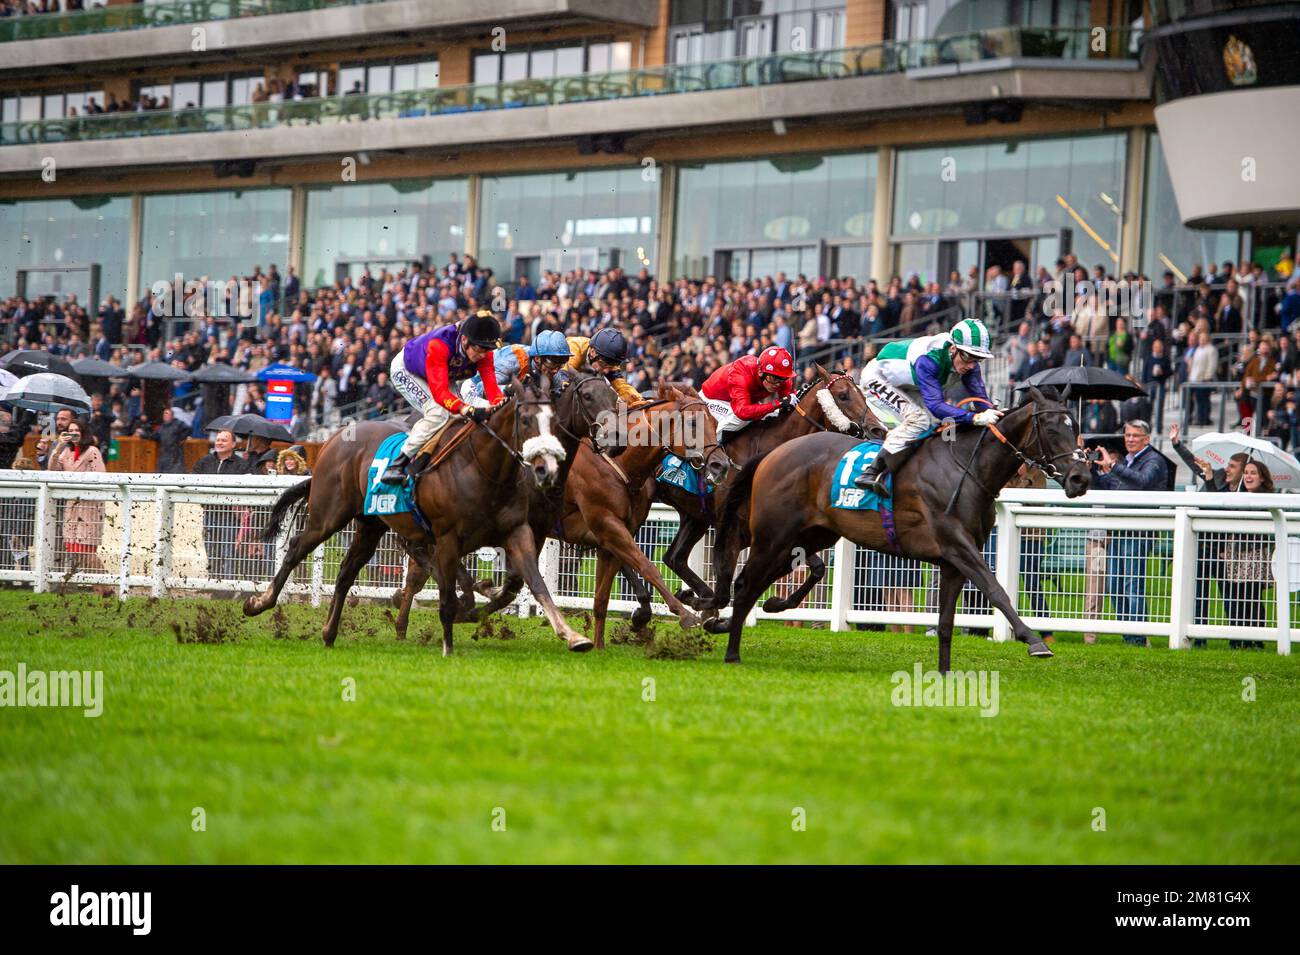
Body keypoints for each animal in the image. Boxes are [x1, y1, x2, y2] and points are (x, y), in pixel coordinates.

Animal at [249, 374, 624, 657]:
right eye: (527, 420)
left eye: (554, 422)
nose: (546, 469)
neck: (485, 469)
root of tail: (333, 439)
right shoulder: (447, 537)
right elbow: (455, 588)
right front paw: (452, 636)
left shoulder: (520, 531)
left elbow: (533, 582)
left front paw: (573, 636)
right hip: (329, 515)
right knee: (297, 547)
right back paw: (259, 602)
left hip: (371, 524)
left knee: (346, 571)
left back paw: (329, 632)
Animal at [707, 387, 1092, 670]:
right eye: (1053, 428)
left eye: (1075, 426)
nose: (1080, 477)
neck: (966, 469)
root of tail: (771, 455)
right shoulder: (958, 546)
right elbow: (996, 590)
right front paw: (1035, 641)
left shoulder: (953, 562)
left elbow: (947, 623)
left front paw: (945, 674)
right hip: (773, 536)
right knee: (745, 585)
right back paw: (731, 652)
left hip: (808, 536)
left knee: (762, 583)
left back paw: (751, 615)